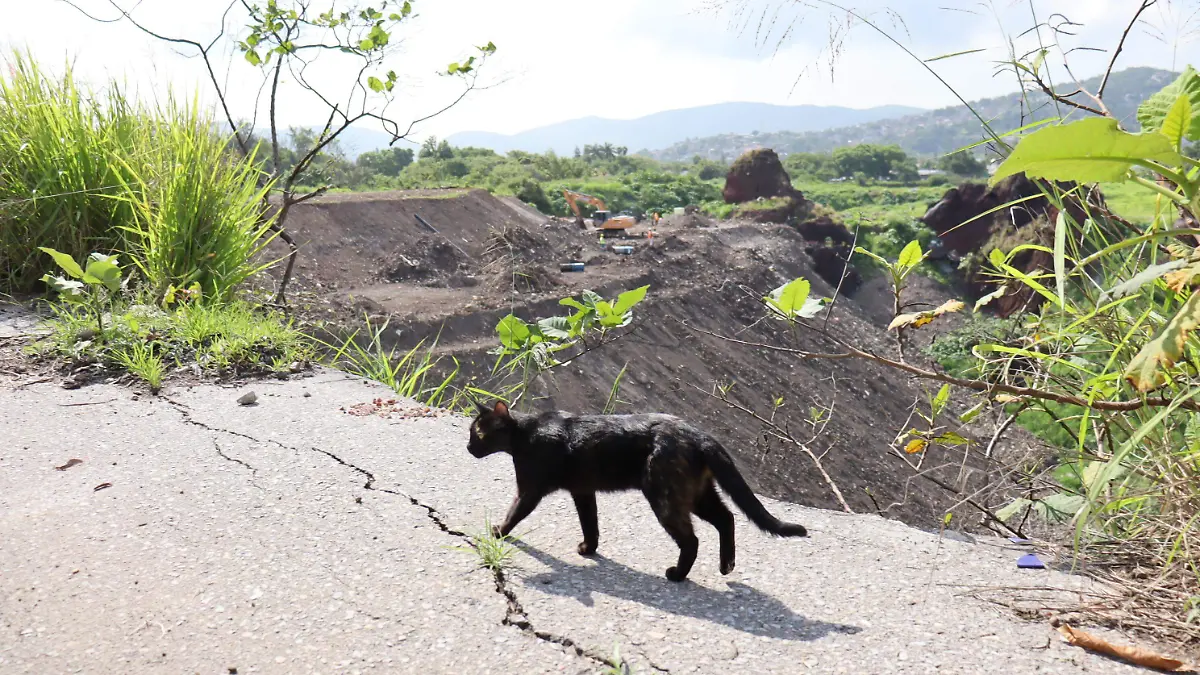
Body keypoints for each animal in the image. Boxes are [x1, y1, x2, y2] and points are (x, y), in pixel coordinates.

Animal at [468, 398, 806, 578]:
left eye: (478, 434)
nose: (468, 447)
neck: (526, 434)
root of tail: (700, 434)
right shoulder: (583, 491)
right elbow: (590, 523)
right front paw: (589, 548)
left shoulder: (530, 489)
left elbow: (515, 512)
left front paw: (498, 531)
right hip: (697, 494)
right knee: (727, 518)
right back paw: (726, 565)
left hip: (665, 497)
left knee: (692, 539)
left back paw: (678, 575)